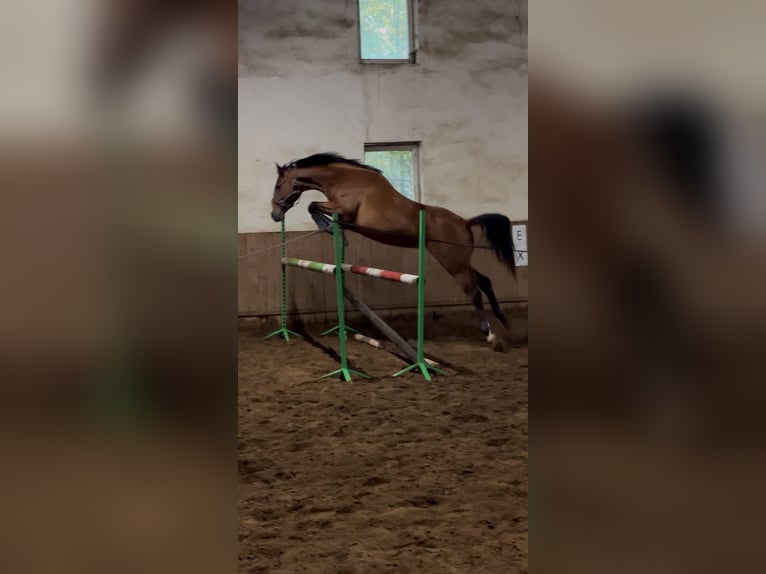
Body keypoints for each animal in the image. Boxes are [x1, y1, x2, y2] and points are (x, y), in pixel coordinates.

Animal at [270, 152, 517, 344]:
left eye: (279, 185)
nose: (275, 215)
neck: (345, 181)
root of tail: (465, 222)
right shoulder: (345, 217)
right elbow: (318, 210)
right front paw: (334, 231)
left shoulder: (345, 210)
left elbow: (313, 206)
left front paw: (329, 229)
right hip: (460, 262)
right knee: (485, 281)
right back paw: (504, 321)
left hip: (454, 265)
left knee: (474, 292)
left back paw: (490, 334)